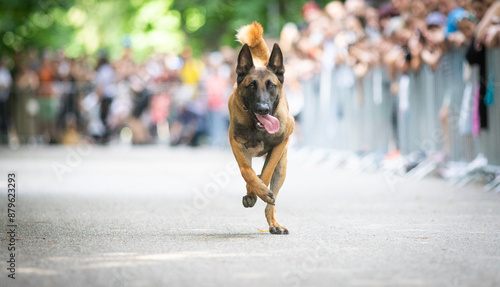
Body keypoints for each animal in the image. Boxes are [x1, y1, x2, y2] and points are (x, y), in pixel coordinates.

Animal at [227, 22, 292, 234]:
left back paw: (274, 223)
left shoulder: (282, 142)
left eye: (271, 86)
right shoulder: (236, 143)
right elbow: (246, 170)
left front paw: (261, 191)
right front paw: (256, 189)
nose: (263, 109)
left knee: (272, 199)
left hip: (282, 166)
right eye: (252, 86)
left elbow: (266, 172)